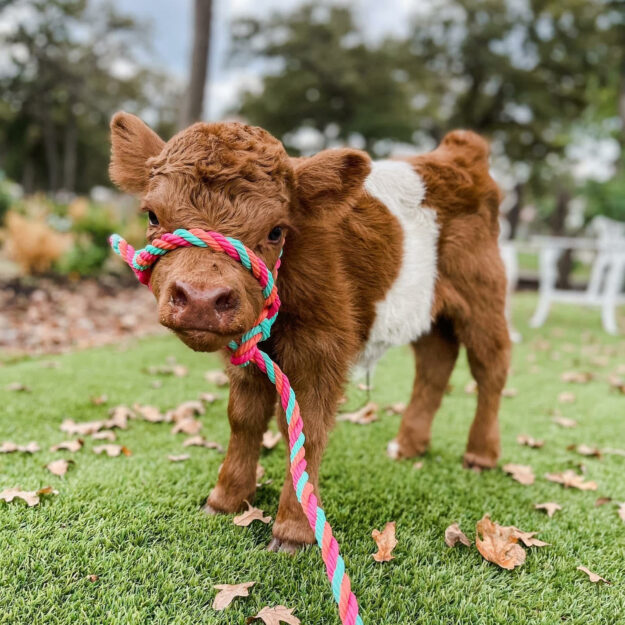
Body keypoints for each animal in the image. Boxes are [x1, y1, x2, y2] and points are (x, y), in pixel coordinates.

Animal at [109, 113, 510, 552]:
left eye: (276, 231)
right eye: (152, 215)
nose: (201, 297)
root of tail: (460, 151)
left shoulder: (323, 347)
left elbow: (308, 429)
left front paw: (294, 530)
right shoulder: (246, 351)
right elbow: (244, 418)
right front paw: (226, 499)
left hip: (483, 298)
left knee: (490, 368)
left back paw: (480, 454)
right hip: (428, 313)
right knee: (435, 366)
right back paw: (408, 445)